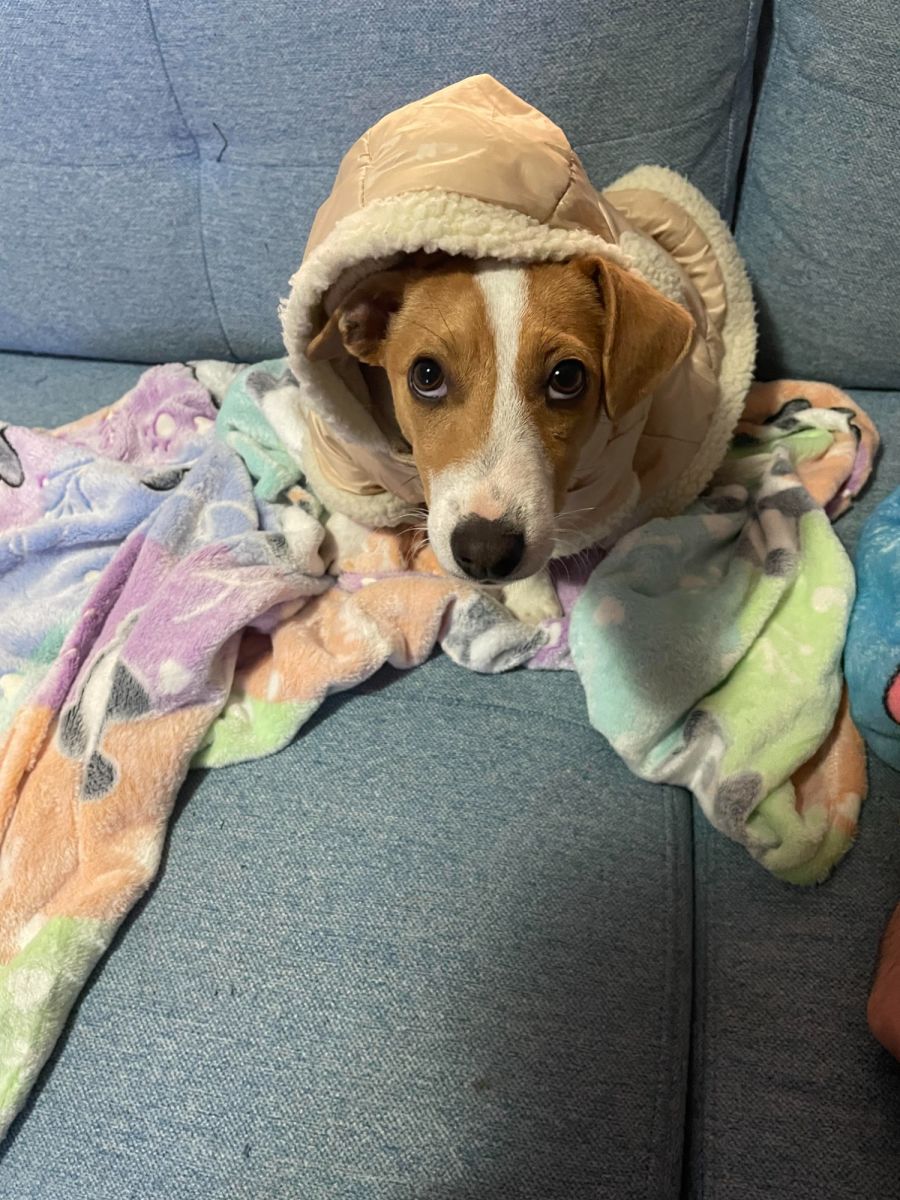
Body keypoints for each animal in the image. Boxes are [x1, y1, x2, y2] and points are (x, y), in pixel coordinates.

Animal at [306, 254, 693, 622]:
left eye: (567, 376)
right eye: (426, 374)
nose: (485, 550)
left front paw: (531, 595)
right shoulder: (353, 444)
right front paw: (346, 536)